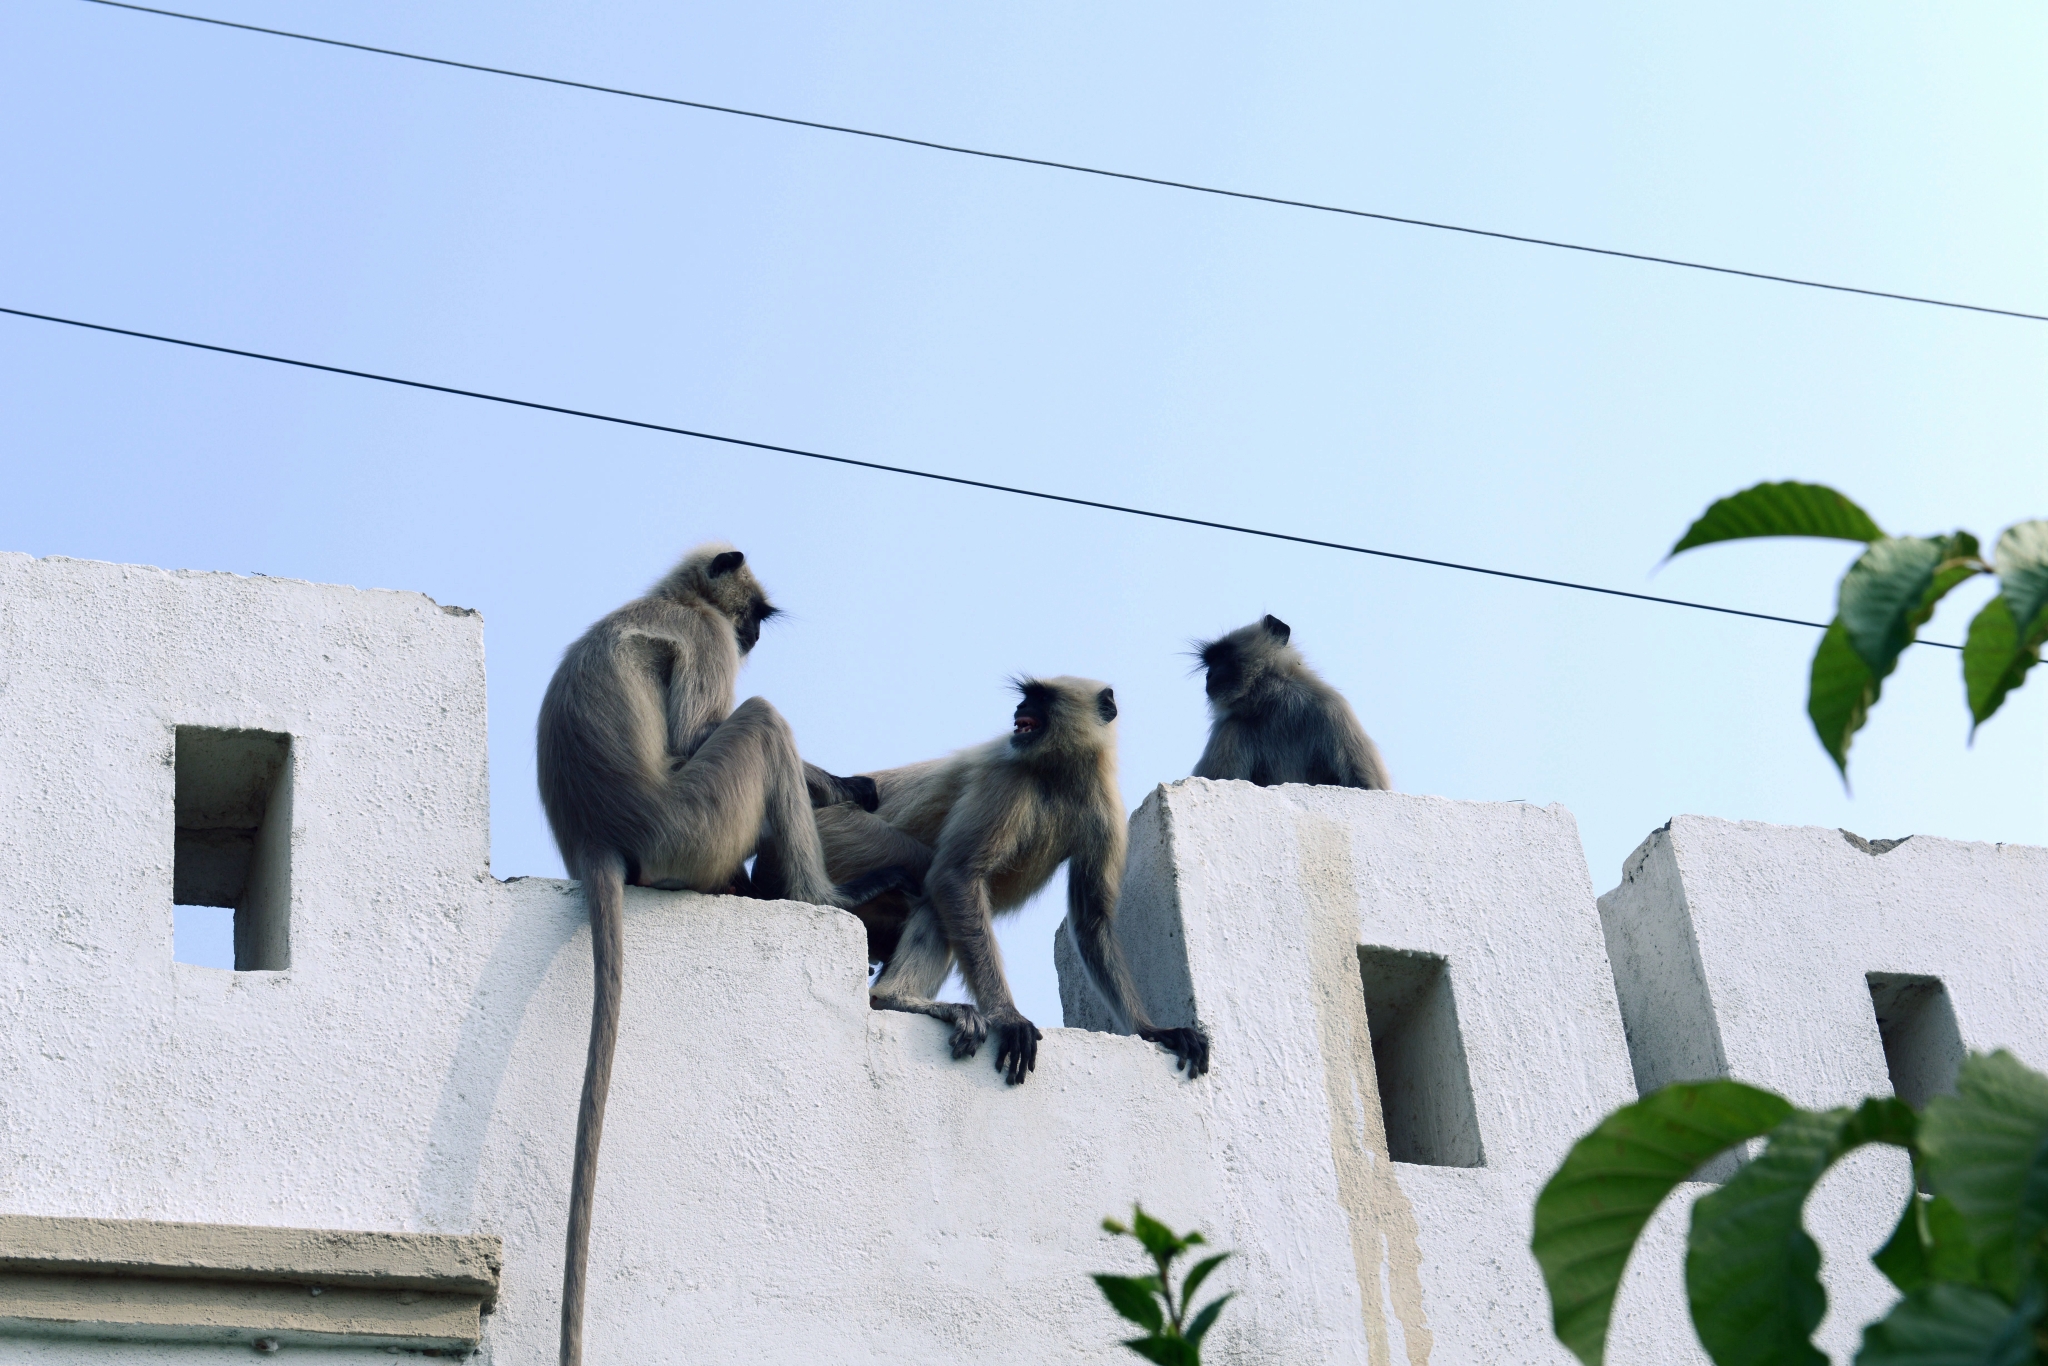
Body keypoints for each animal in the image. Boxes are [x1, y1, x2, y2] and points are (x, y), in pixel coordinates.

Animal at [536, 544, 913, 1366]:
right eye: (753, 613)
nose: (756, 635)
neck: (673, 597)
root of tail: (599, 839)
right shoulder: (704, 636)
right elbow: (694, 735)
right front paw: (838, 784)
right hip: (697, 822)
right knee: (759, 722)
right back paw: (825, 898)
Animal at [798, 679, 1204, 1081]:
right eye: (1028, 695)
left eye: (1040, 697)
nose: (1020, 708)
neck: (1058, 772)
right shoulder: (1007, 775)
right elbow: (957, 875)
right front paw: (1008, 1017)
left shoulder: (1104, 807)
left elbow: (1091, 921)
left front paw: (1152, 1030)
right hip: (842, 833)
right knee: (936, 884)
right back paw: (896, 999)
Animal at [1196, 618, 1392, 794]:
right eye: (1211, 661)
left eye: (1223, 655)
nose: (1209, 675)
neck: (1275, 701)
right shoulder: (1230, 727)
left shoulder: (1332, 707)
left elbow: (1366, 784)